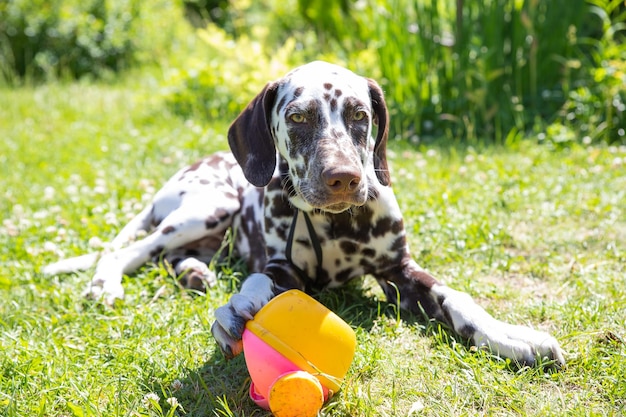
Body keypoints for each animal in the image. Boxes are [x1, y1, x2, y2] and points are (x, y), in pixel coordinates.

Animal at [42, 61, 560, 364]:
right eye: (297, 117)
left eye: (359, 115)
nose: (343, 178)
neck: (336, 225)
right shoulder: (282, 268)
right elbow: (258, 283)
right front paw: (239, 305)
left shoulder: (401, 270)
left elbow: (459, 299)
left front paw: (510, 335)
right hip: (208, 207)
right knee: (130, 251)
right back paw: (107, 283)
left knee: (171, 256)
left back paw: (194, 272)